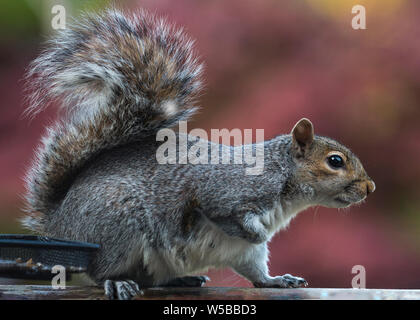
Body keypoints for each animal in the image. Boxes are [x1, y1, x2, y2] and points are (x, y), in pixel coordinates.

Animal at [20, 10, 374, 300]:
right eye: (335, 161)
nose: (369, 188)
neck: (282, 176)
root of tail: (60, 221)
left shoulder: (248, 253)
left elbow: (256, 270)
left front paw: (277, 280)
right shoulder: (224, 192)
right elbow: (225, 215)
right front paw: (258, 231)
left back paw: (181, 280)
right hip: (116, 227)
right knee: (100, 271)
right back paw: (117, 282)